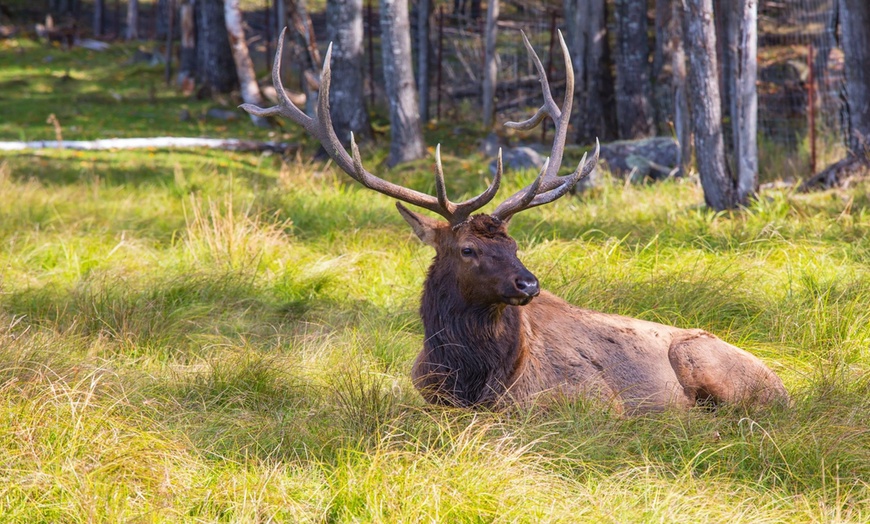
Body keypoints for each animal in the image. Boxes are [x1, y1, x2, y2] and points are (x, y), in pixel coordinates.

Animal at [244, 29, 792, 414]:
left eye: (514, 245)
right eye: (468, 249)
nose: (528, 284)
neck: (471, 377)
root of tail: (786, 387)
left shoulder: (591, 399)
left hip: (704, 362)